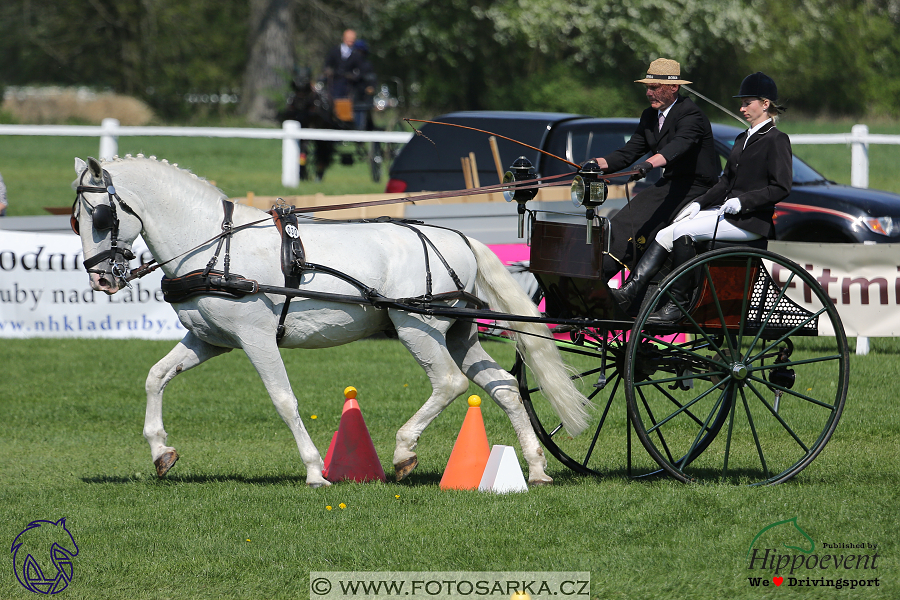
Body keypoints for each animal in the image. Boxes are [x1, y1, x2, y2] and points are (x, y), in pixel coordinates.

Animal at [72, 156, 592, 488]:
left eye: (101, 216)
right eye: (75, 220)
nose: (101, 277)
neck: (215, 244)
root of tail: (460, 237)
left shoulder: (256, 338)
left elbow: (284, 400)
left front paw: (314, 470)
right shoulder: (209, 339)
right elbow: (155, 376)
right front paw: (160, 452)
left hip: (415, 326)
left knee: (448, 382)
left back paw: (403, 453)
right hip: (460, 333)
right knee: (503, 386)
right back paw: (536, 468)